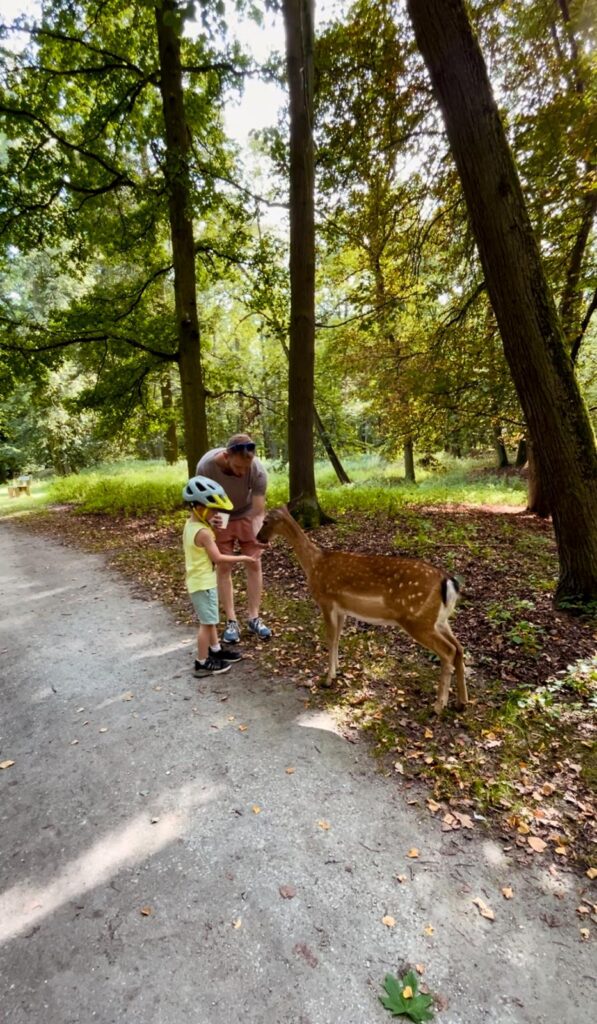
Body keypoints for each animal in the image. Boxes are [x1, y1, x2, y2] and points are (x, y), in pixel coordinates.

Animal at [257, 503, 466, 712]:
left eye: (265, 521)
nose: (258, 538)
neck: (314, 564)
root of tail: (448, 582)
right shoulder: (341, 609)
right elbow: (337, 638)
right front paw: (337, 671)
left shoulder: (326, 601)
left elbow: (330, 638)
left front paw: (327, 679)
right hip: (438, 620)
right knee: (459, 648)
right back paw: (461, 703)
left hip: (417, 619)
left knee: (448, 650)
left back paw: (439, 706)